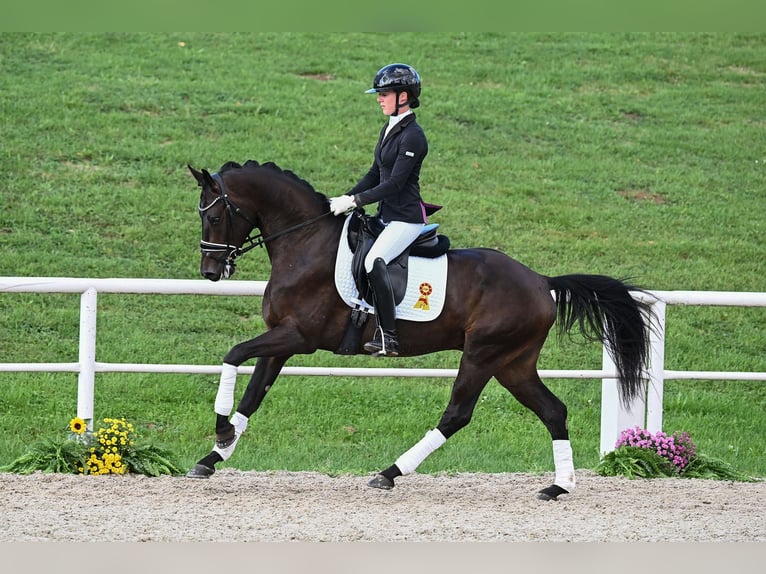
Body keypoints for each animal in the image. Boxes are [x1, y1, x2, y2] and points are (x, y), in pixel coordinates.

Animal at [186, 160, 656, 502]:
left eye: (216, 215)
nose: (210, 271)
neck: (305, 244)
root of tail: (542, 281)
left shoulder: (299, 337)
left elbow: (232, 354)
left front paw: (221, 433)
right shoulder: (280, 341)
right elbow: (253, 395)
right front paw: (213, 456)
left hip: (483, 355)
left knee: (457, 414)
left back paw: (389, 473)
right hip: (513, 363)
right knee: (553, 411)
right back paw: (559, 486)